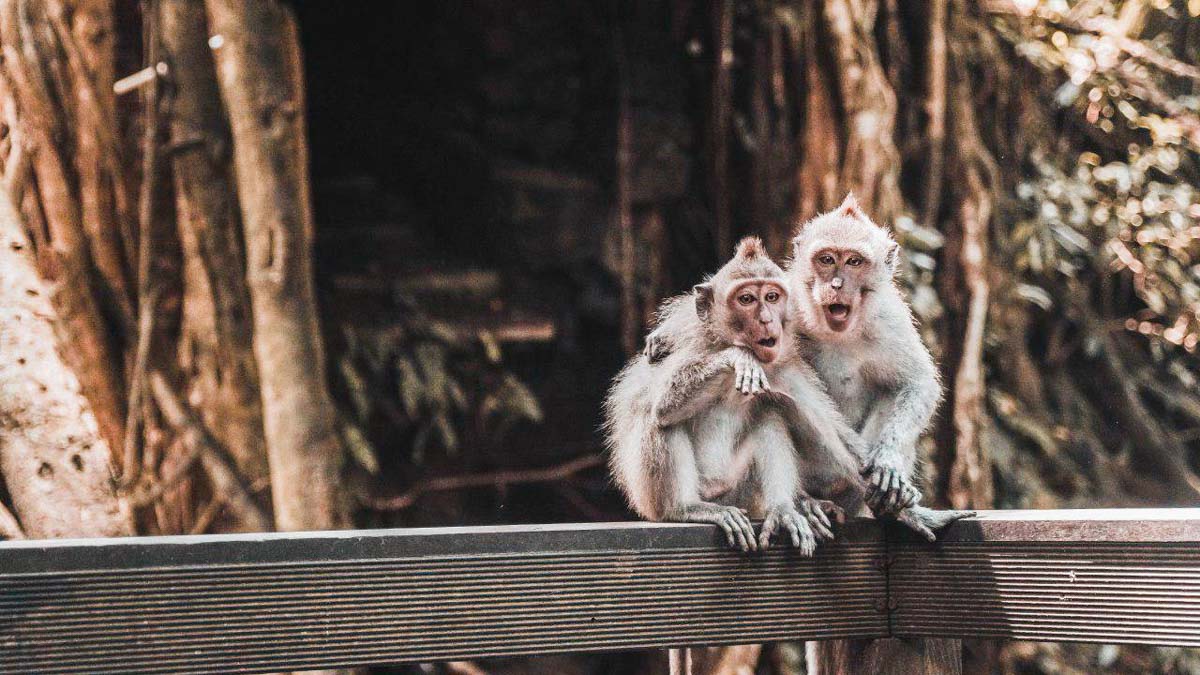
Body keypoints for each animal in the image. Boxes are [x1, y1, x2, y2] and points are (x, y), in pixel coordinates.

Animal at [604, 236, 840, 552]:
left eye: (772, 297)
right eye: (746, 299)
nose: (767, 320)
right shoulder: (688, 348)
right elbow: (663, 404)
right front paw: (739, 357)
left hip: (738, 490)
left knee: (768, 413)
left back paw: (783, 508)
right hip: (656, 498)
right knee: (660, 419)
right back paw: (685, 508)